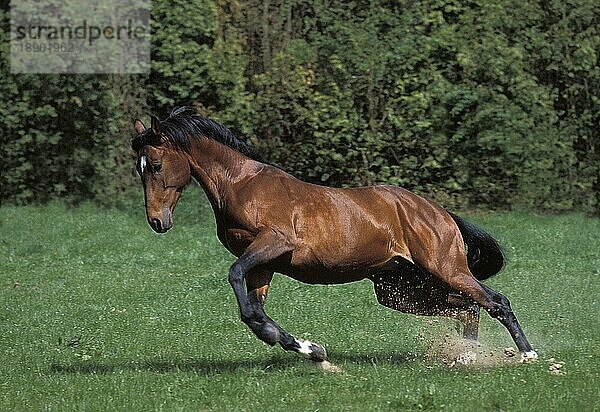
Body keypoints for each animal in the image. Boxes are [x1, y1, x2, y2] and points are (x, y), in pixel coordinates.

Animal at [131, 107, 540, 366]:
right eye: (139, 168)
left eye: (155, 164)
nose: (157, 221)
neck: (242, 185)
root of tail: (438, 213)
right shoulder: (263, 264)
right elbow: (256, 312)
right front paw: (309, 349)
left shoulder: (273, 244)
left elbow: (237, 281)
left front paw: (306, 348)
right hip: (400, 289)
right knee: (468, 306)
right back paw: (465, 354)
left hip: (446, 269)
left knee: (495, 301)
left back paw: (527, 354)